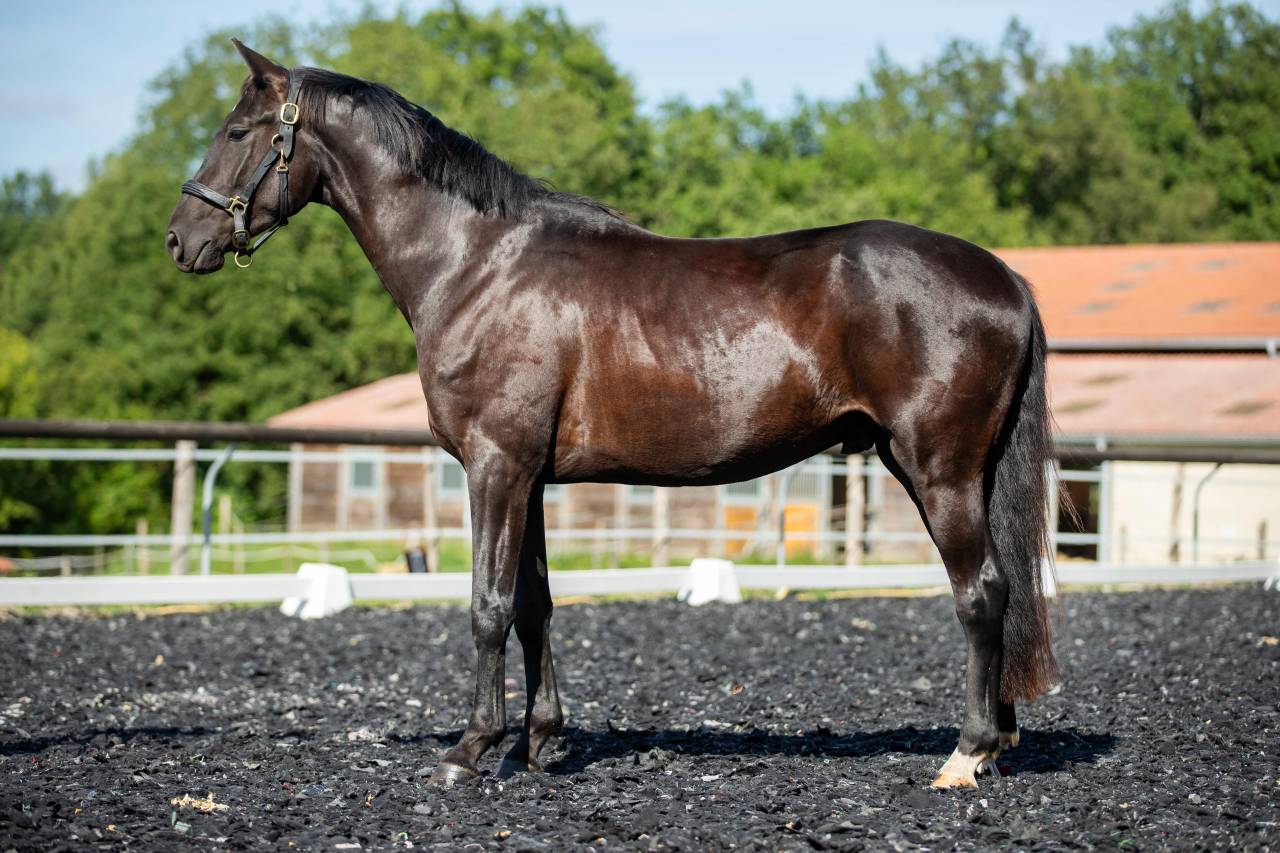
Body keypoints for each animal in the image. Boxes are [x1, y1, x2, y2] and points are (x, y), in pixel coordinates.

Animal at [167, 41, 1058, 789]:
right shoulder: (528, 476)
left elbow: (487, 607)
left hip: (938, 469)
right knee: (1002, 586)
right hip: (944, 470)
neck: (477, 262)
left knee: (980, 591)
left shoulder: (495, 465)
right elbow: (533, 605)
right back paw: (999, 739)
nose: (181, 240)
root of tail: (1006, 279)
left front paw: (470, 747)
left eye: (238, 129)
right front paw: (539, 742)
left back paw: (966, 753)